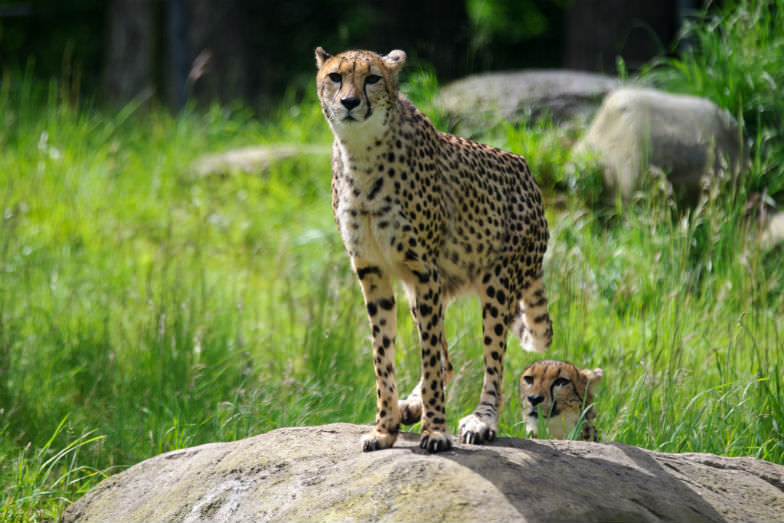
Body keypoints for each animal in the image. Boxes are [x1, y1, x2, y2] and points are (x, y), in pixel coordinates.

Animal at [314, 47, 552, 452]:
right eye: (335, 77)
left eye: (372, 78)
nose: (349, 102)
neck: (361, 153)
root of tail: (525, 169)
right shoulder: (373, 272)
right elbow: (384, 356)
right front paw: (385, 427)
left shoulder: (425, 271)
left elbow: (428, 358)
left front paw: (435, 430)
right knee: (448, 360)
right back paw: (410, 405)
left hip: (497, 284)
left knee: (492, 359)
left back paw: (481, 420)